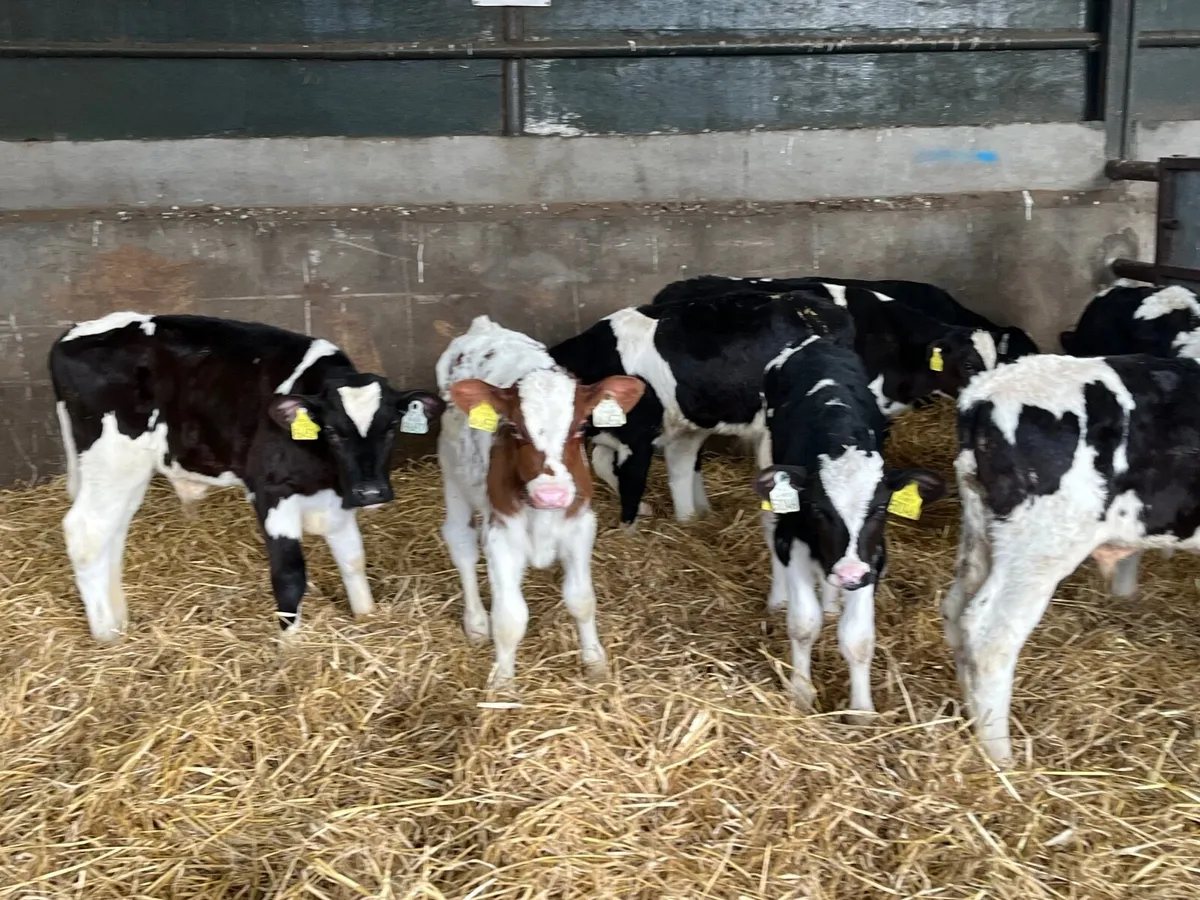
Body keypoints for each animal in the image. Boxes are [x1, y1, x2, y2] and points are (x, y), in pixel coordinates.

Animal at [50, 311, 443, 642]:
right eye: (331, 430)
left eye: (391, 426)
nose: (371, 492)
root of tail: (74, 331)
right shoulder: (270, 491)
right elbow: (290, 574)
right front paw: (290, 649)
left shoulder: (337, 495)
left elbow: (353, 559)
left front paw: (367, 616)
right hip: (112, 457)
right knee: (86, 533)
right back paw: (106, 634)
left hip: (125, 471)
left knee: (111, 533)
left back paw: (119, 621)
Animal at [436, 316, 644, 687]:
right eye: (515, 429)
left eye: (581, 427)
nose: (552, 494)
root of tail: (485, 326)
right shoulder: (501, 535)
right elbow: (510, 618)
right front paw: (502, 682)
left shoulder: (580, 527)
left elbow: (582, 600)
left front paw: (594, 661)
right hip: (451, 471)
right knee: (460, 542)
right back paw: (476, 622)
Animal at [754, 334, 945, 718]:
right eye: (816, 507)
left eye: (881, 507)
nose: (849, 574)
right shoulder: (793, 537)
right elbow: (803, 624)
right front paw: (801, 693)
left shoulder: (873, 556)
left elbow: (858, 637)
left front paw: (861, 711)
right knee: (769, 527)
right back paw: (779, 597)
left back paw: (832, 602)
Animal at [946, 352, 1200, 765]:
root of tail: (986, 393)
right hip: (1040, 545)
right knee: (989, 637)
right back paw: (1002, 759)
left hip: (983, 530)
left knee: (955, 608)